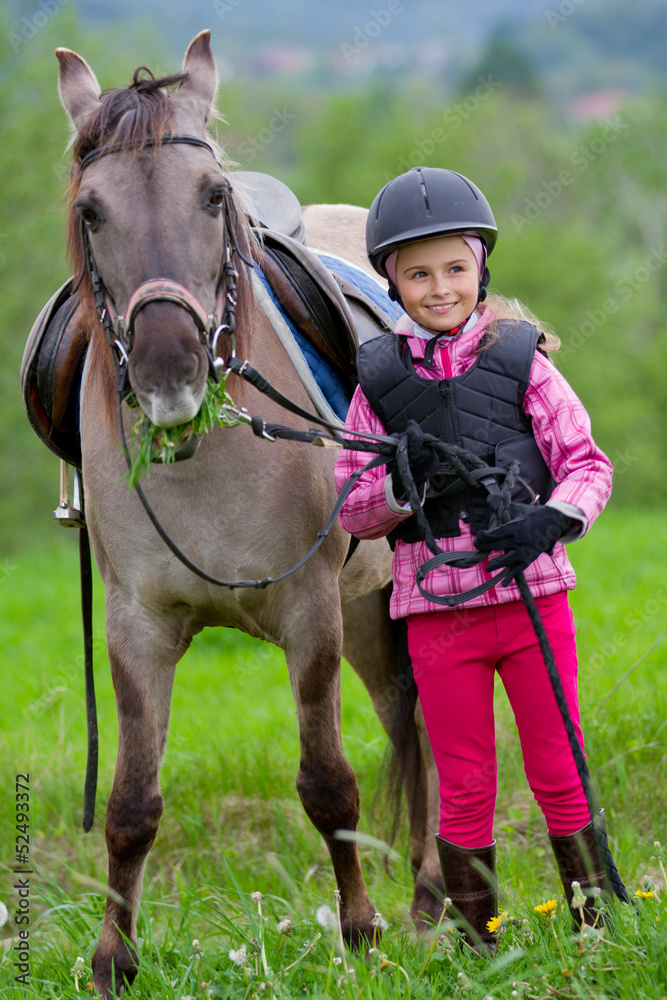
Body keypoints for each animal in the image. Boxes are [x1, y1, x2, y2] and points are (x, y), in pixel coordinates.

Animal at [54, 30, 442, 996]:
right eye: (91, 211)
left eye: (213, 194)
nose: (169, 371)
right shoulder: (137, 626)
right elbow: (131, 802)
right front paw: (114, 958)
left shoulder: (308, 616)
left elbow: (328, 784)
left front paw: (360, 933)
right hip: (370, 615)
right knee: (407, 721)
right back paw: (431, 899)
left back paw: (433, 904)